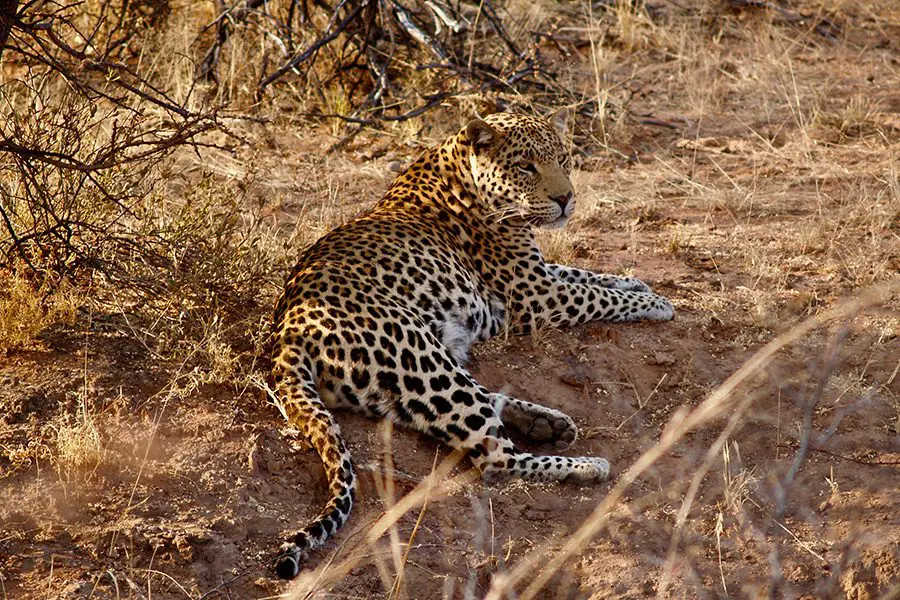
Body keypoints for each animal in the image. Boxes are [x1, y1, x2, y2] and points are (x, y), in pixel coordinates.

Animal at [270, 108, 672, 576]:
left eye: (563, 159)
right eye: (526, 167)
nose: (566, 199)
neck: (461, 169)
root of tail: (286, 331)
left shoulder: (541, 274)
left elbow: (585, 273)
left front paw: (636, 282)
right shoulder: (535, 294)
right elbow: (596, 295)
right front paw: (656, 302)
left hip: (421, 367)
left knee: (478, 407)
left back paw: (548, 423)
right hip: (418, 352)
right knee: (495, 458)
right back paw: (587, 465)